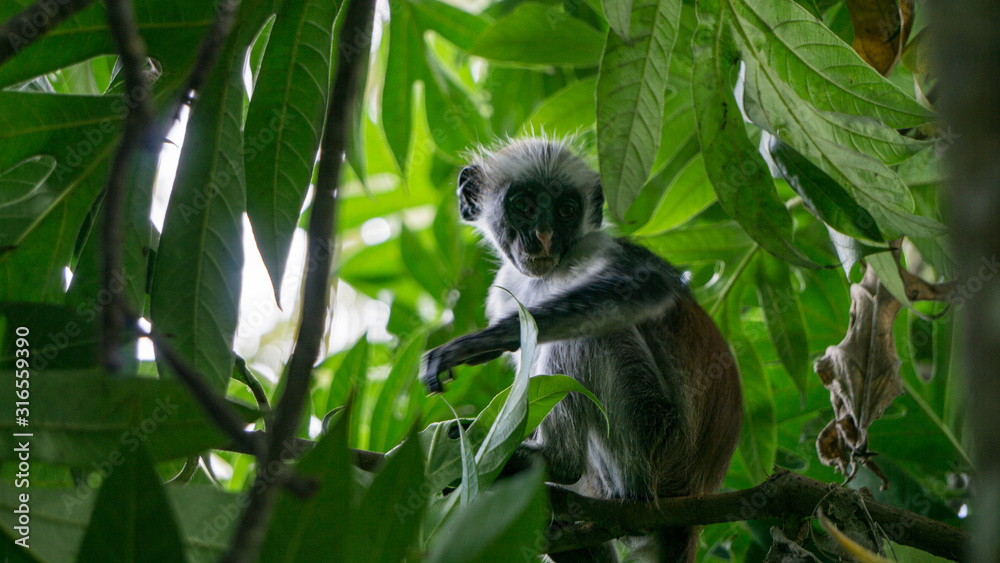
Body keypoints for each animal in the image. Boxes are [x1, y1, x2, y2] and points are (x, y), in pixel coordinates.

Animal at [419, 137, 743, 562]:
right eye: (523, 205)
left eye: (566, 211)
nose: (542, 237)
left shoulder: (597, 248)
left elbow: (649, 285)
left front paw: (480, 342)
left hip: (657, 441)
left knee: (591, 337)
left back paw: (556, 461)